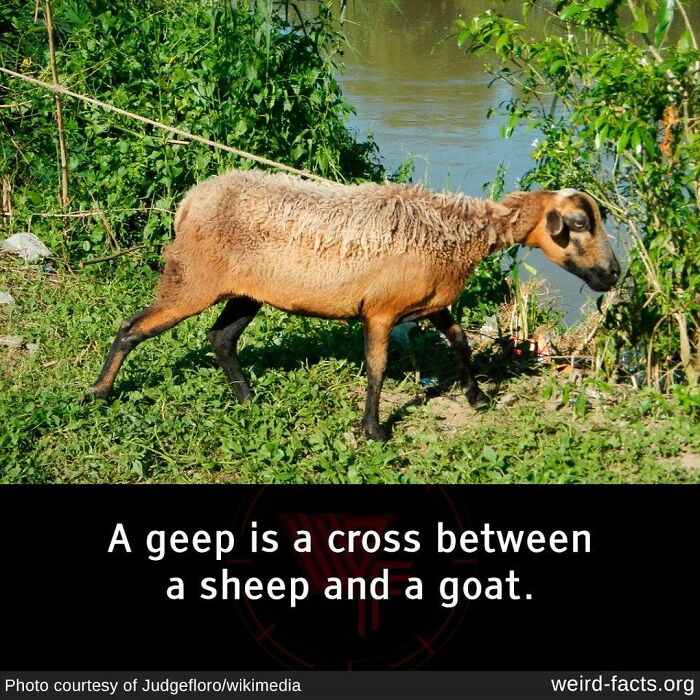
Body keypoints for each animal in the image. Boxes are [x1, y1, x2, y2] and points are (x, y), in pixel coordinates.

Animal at [86, 169, 620, 441]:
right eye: (577, 224)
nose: (614, 273)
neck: (456, 234)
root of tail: (187, 203)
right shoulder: (380, 312)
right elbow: (377, 368)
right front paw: (374, 431)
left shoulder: (433, 302)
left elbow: (460, 342)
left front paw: (477, 397)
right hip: (193, 279)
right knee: (133, 326)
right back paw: (98, 392)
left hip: (246, 292)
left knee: (221, 338)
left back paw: (248, 399)